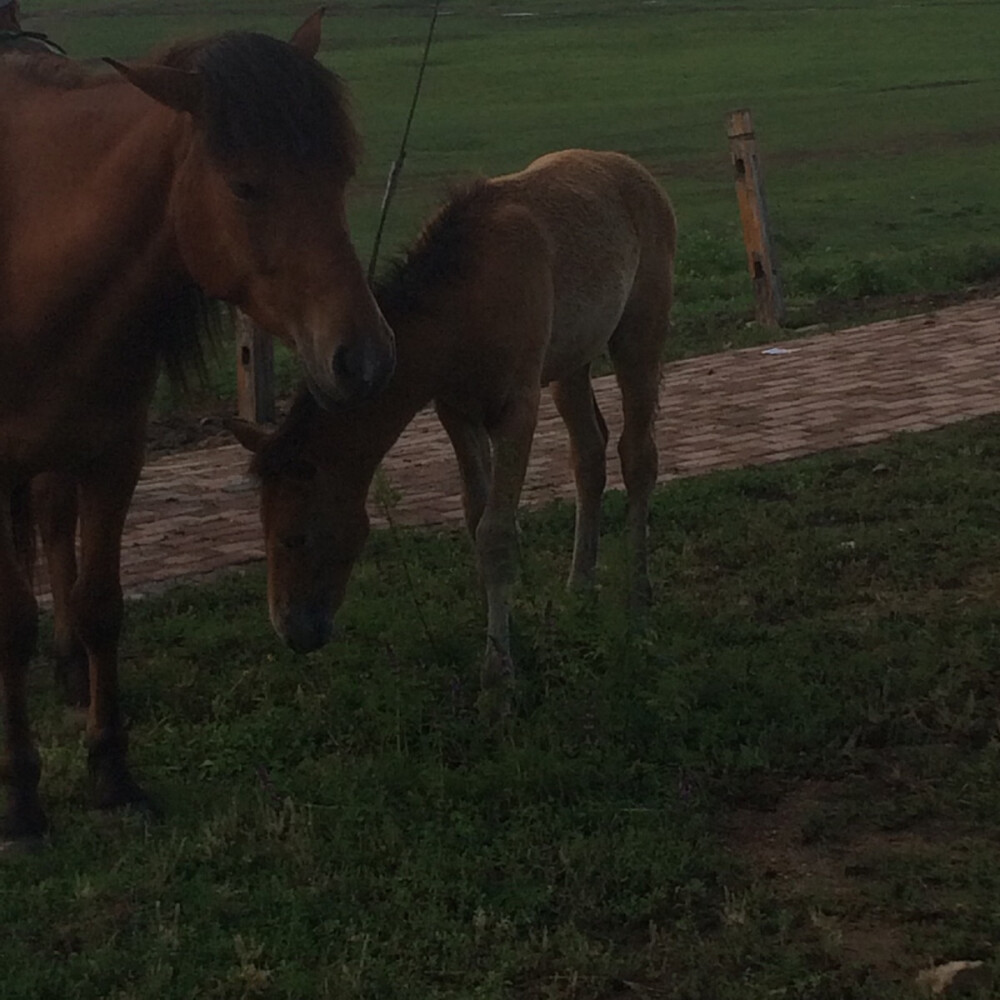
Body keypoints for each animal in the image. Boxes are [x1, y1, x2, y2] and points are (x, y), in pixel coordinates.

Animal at [0, 11, 396, 844]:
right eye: (246, 185)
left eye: (341, 172)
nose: (366, 357)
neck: (25, 246)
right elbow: (10, 622)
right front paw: (19, 799)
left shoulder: (113, 457)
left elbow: (101, 606)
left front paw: (112, 775)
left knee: (51, 521)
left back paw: (69, 670)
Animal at [230, 145, 676, 716]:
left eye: (295, 536)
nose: (292, 632)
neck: (463, 305)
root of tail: (636, 172)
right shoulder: (456, 412)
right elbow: (476, 519)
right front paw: (512, 635)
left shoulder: (517, 408)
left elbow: (497, 533)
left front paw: (498, 679)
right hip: (570, 364)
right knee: (588, 456)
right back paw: (580, 586)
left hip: (639, 333)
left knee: (637, 456)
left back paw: (638, 603)